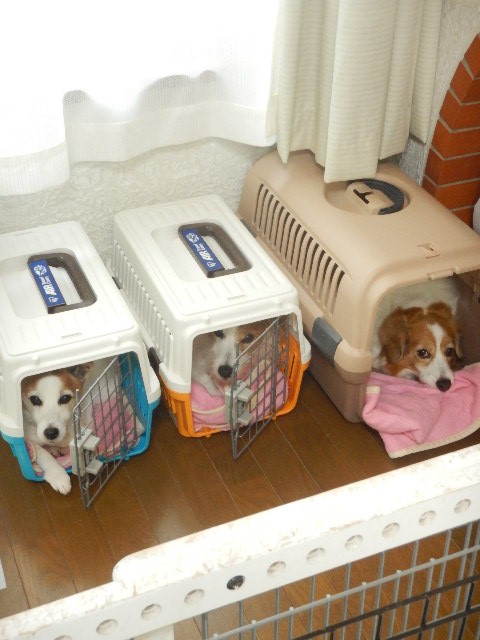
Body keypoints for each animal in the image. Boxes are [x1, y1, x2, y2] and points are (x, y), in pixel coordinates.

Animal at [21, 362, 93, 494]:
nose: (51, 433)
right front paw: (58, 475)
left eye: (65, 398)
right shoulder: (28, 438)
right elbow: (42, 452)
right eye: (35, 399)